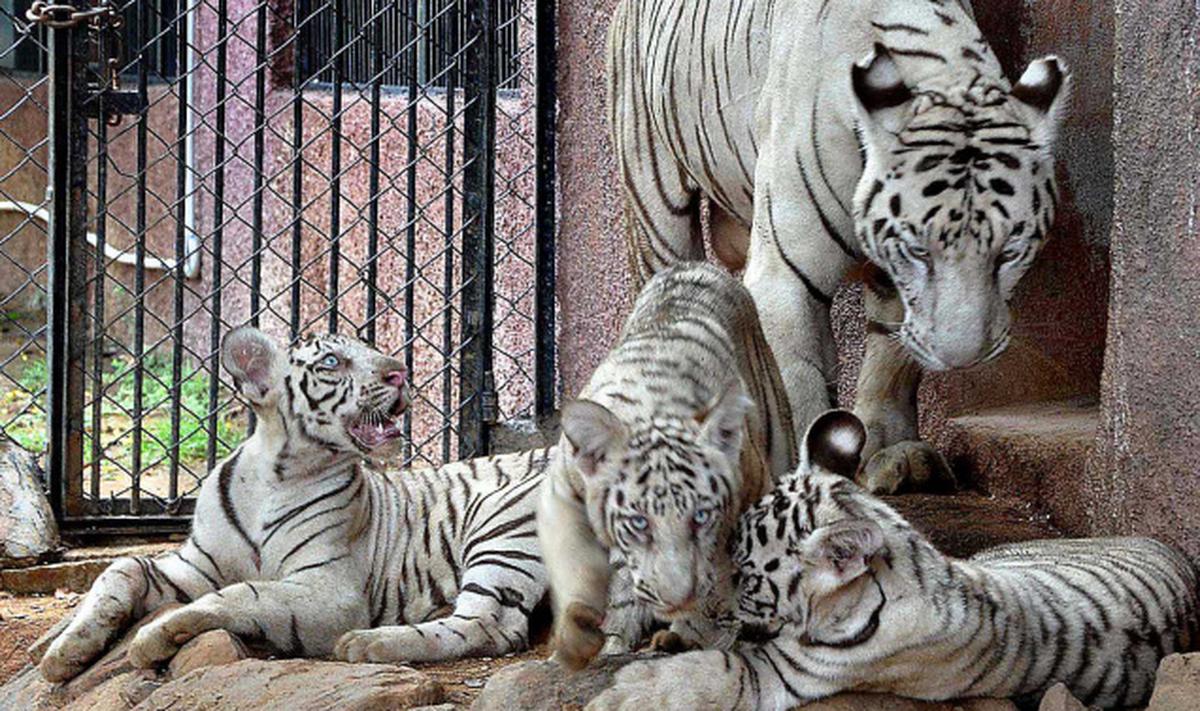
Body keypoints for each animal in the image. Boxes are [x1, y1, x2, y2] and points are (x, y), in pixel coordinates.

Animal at [35, 329, 547, 682]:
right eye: (332, 360)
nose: (400, 372)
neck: (274, 476)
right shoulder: (196, 565)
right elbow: (120, 569)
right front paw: (64, 652)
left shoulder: (332, 587)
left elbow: (245, 594)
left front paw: (156, 637)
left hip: (503, 523)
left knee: (490, 626)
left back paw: (367, 644)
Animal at [540, 263, 801, 672]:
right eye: (638, 522)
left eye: (702, 517)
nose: (677, 598)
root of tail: (698, 265)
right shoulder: (561, 493)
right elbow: (575, 563)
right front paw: (575, 637)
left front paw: (695, 631)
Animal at [609, 0, 1070, 494]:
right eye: (920, 251)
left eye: (1009, 251)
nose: (962, 358)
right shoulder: (783, 279)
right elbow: (797, 387)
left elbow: (890, 361)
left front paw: (892, 453)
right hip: (654, 198)